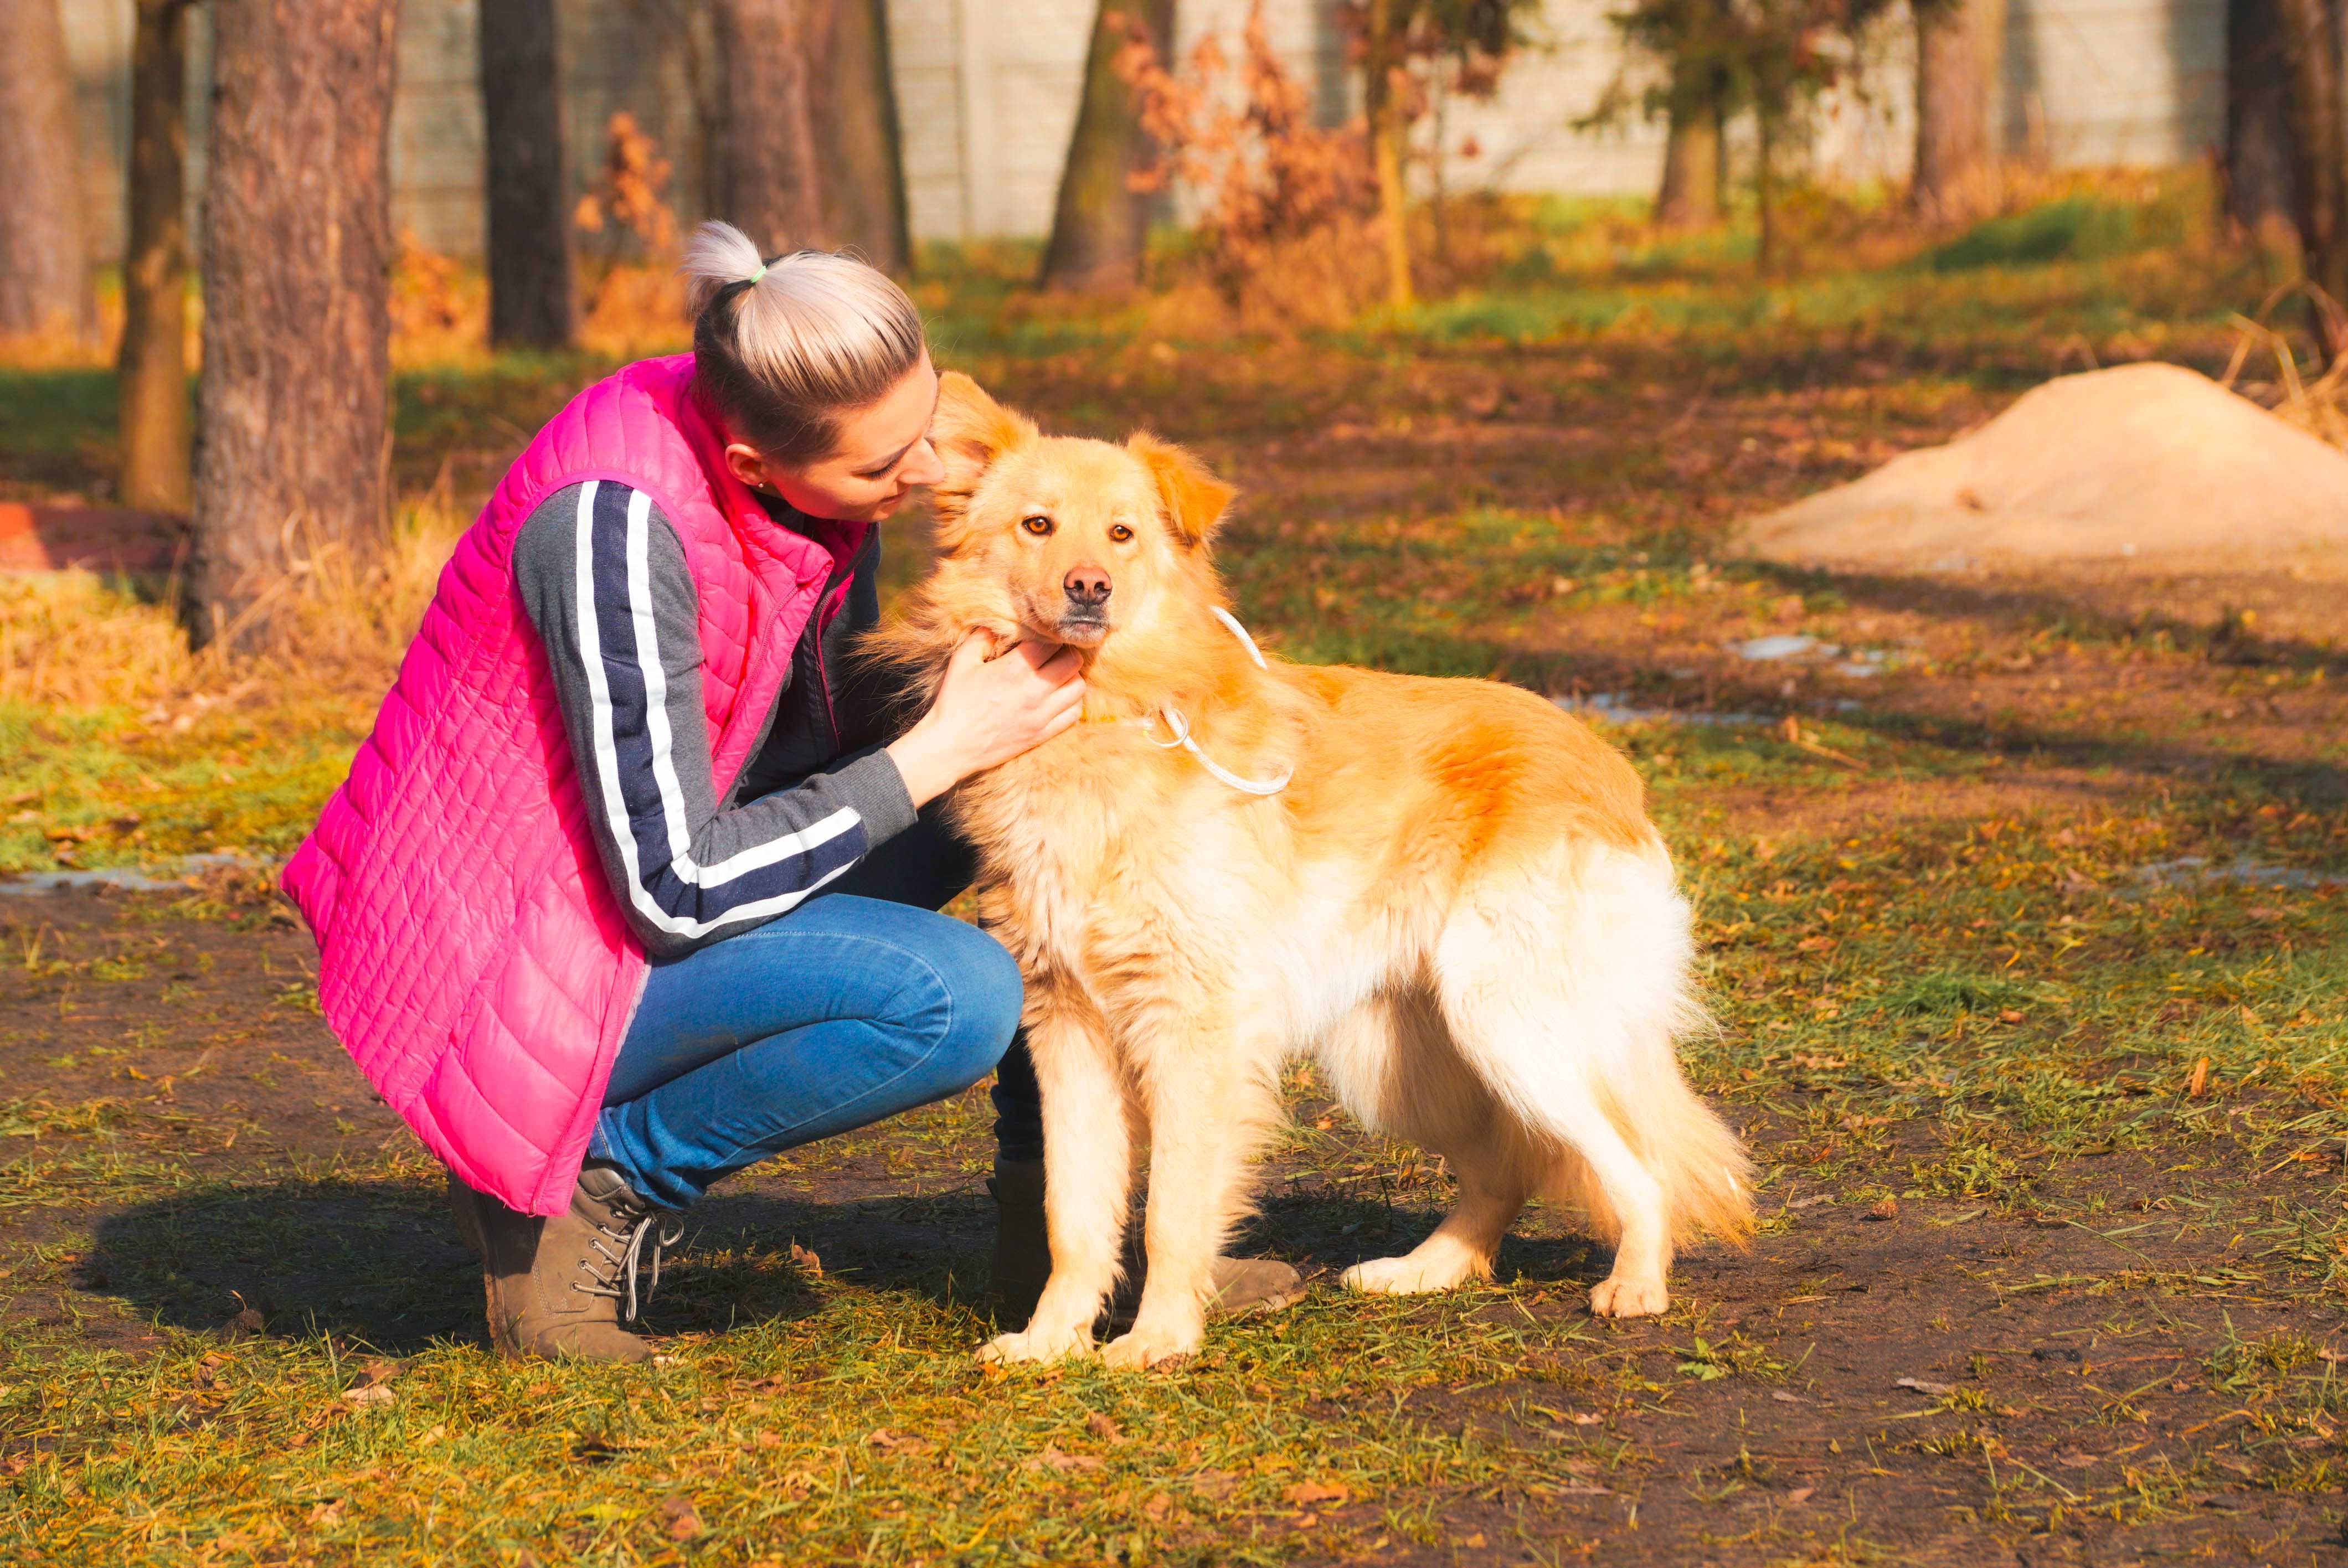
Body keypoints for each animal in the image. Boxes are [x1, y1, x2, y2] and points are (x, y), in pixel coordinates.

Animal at [873, 373, 1756, 1361]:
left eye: (1122, 534)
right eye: (1037, 526)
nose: (1089, 589)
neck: (1105, 716)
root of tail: (1608, 765)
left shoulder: (1195, 1030)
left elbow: (1171, 1209)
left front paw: (1157, 1344)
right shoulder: (1069, 1031)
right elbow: (1076, 1213)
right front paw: (1051, 1342)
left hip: (1506, 1017)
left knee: (1633, 1165)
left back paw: (1637, 1283)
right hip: (1401, 1058)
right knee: (1511, 1162)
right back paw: (1427, 1269)